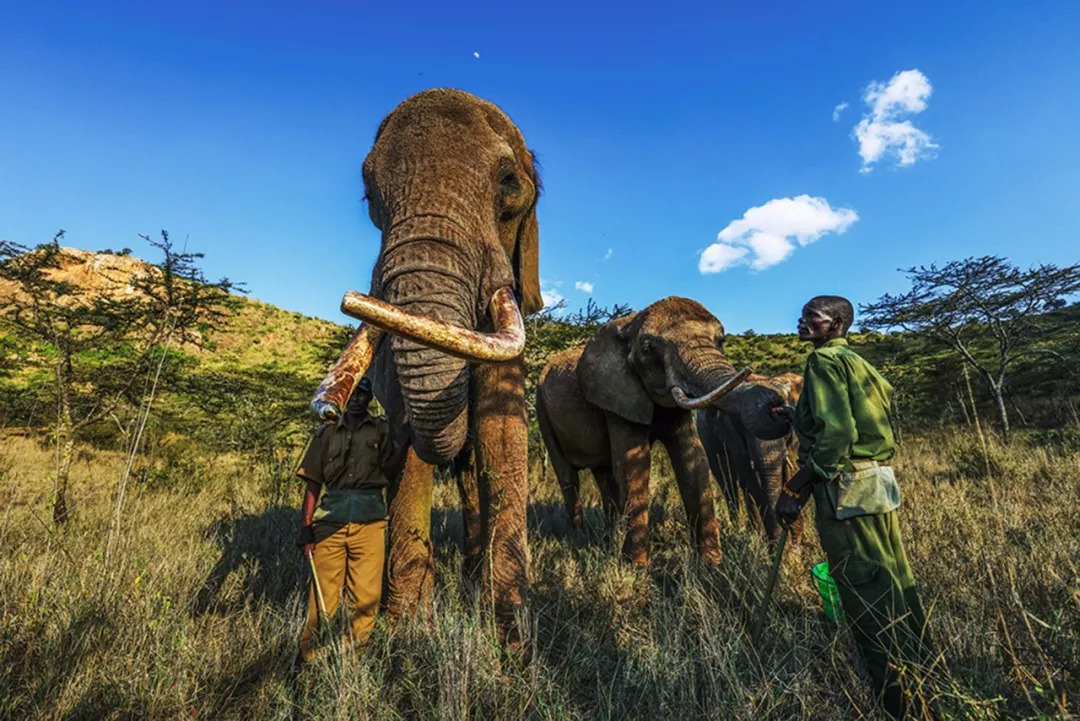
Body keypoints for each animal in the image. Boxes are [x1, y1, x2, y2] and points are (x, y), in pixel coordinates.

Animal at [311, 90, 544, 634]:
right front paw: (407, 626)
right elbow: (407, 437)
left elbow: (501, 433)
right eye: (369, 196)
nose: (327, 409)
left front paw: (510, 633)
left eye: (508, 183)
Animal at [535, 295, 790, 565]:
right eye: (648, 350)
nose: (778, 406)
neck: (631, 324)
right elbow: (633, 463)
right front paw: (636, 568)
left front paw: (711, 565)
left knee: (604, 476)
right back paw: (580, 544)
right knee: (568, 477)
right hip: (541, 408)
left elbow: (692, 459)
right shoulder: (616, 395)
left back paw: (609, 543)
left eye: (721, 341)